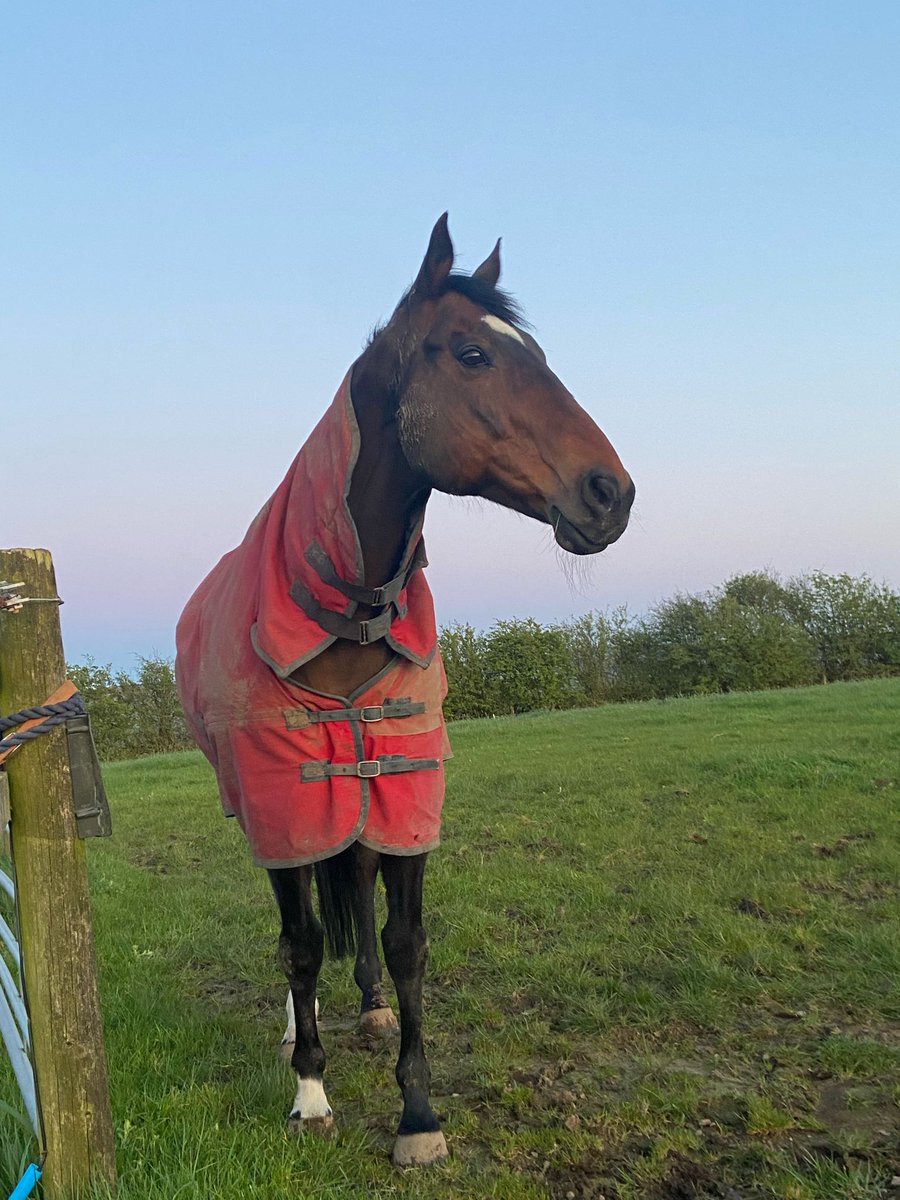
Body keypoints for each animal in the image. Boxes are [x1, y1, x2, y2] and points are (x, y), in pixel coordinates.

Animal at [175, 214, 634, 1167]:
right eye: (472, 354)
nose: (611, 493)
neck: (341, 614)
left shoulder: (406, 785)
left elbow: (405, 941)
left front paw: (418, 1111)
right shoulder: (283, 798)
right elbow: (300, 942)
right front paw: (310, 1092)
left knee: (348, 879)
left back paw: (370, 1006)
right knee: (300, 922)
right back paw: (297, 1031)